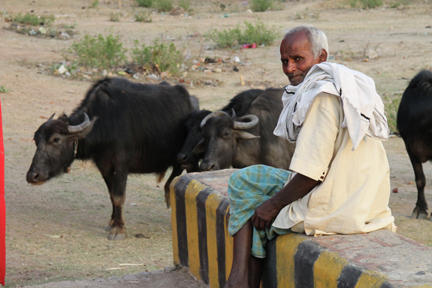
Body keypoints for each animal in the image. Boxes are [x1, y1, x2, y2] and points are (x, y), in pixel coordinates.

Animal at [25, 77, 197, 240]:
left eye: (56, 139)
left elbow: (118, 196)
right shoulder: (105, 167)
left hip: (189, 159)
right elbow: (111, 195)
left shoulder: (121, 166)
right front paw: (112, 223)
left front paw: (118, 229)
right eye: (36, 139)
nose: (33, 176)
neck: (104, 123)